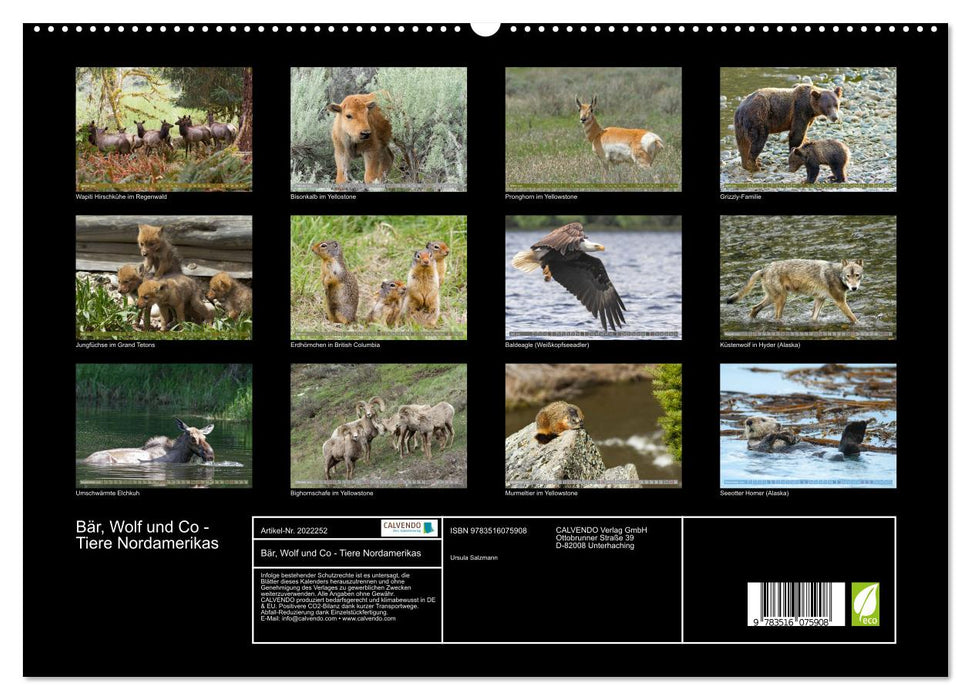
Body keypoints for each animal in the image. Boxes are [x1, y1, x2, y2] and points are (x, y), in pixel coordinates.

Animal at [725, 258, 863, 324]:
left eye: (857, 275)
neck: (837, 275)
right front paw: (861, 325)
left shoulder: (819, 299)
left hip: (772, 298)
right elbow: (853, 318)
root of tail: (765, 268)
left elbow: (813, 318)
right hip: (781, 299)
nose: (854, 288)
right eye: (848, 276)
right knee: (775, 316)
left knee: (754, 309)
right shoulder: (840, 302)